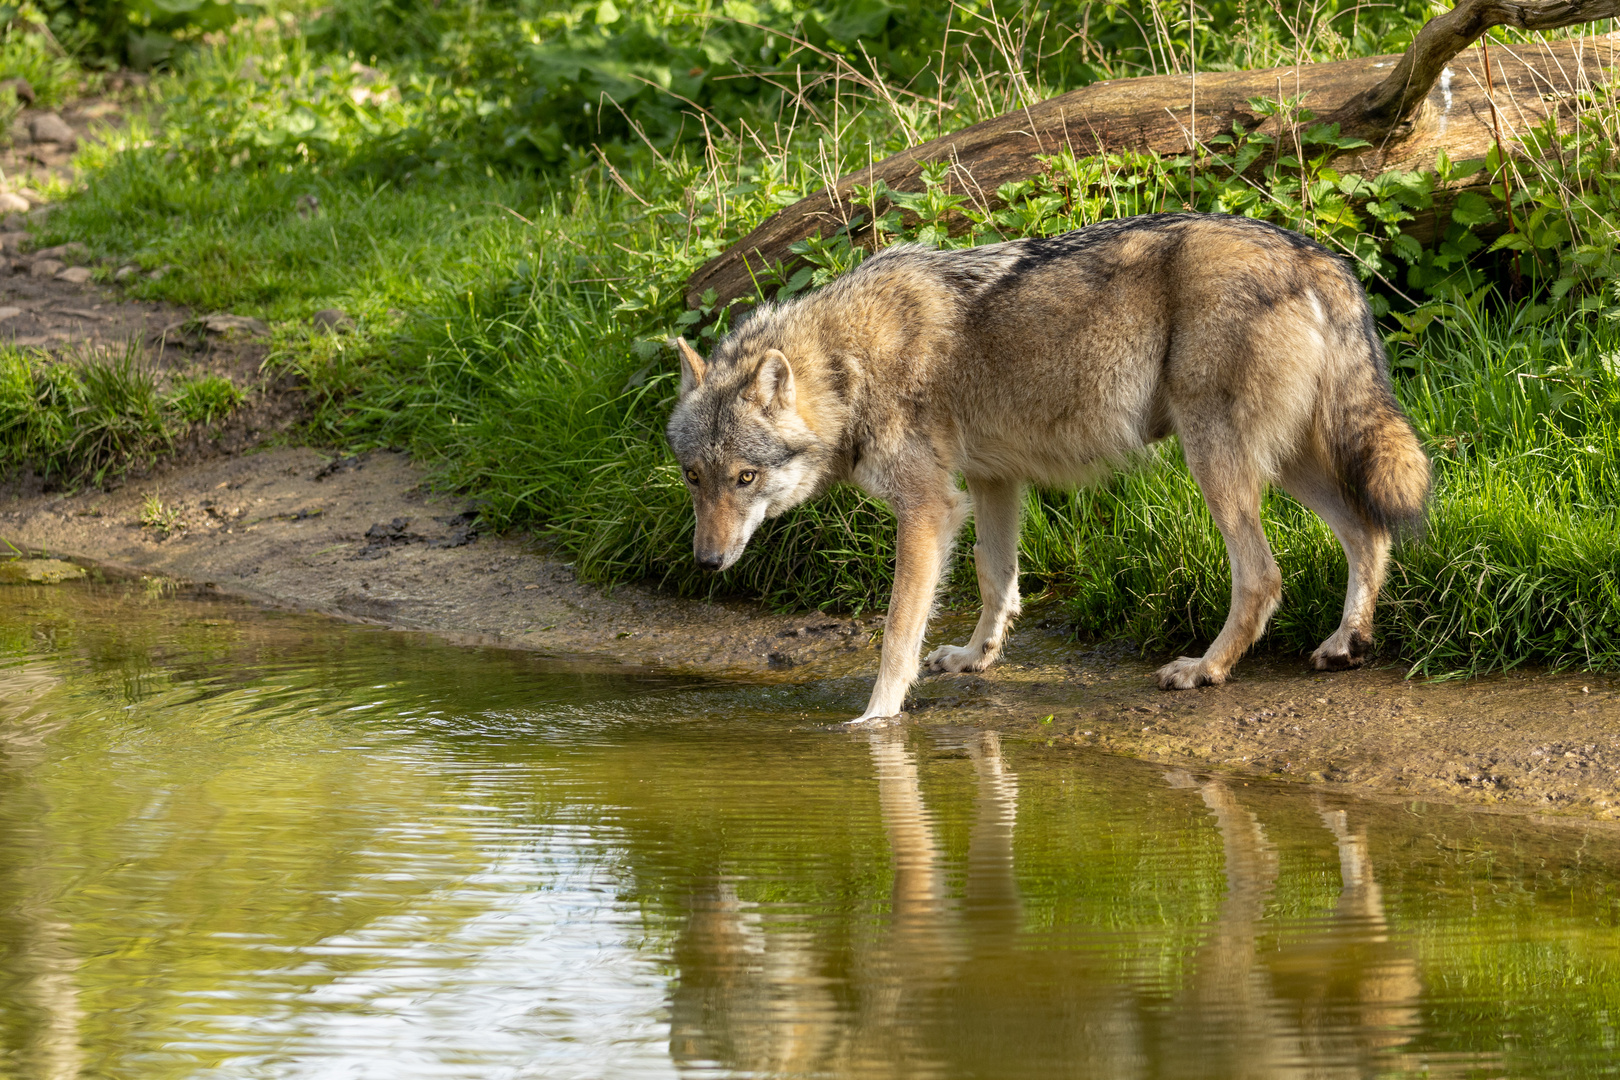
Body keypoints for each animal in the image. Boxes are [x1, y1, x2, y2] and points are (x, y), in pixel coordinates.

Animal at [664, 210, 1425, 722]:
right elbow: (995, 580)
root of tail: (1316, 254)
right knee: (1369, 532)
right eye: (694, 478)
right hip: (1291, 462)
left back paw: (1205, 669)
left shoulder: (929, 509)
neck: (844, 366)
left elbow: (898, 630)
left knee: (1264, 576)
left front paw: (876, 719)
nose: (705, 563)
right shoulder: (992, 483)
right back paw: (1345, 644)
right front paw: (975, 659)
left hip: (1216, 461)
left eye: (746, 478)